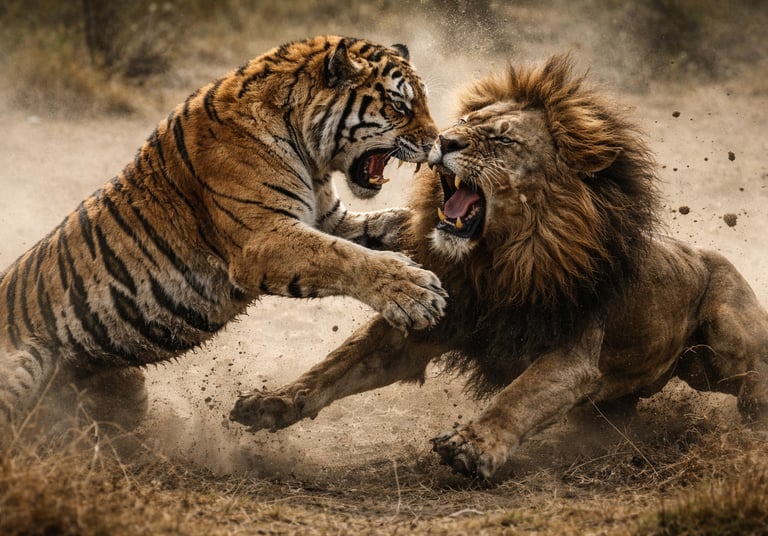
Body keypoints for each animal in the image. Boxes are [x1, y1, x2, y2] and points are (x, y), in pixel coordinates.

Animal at [0, 35, 446, 445]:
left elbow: (387, 225)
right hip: (24, 362)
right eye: (399, 106)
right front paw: (414, 292)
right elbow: (343, 257)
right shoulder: (264, 239)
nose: (437, 144)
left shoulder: (329, 218)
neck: (309, 151)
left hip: (125, 386)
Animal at [229, 54, 768, 480]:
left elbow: (521, 395)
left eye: (504, 142)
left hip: (724, 340)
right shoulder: (430, 325)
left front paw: (472, 445)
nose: (444, 141)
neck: (497, 262)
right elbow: (337, 364)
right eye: (466, 122)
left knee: (751, 374)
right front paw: (273, 401)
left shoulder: (572, 353)